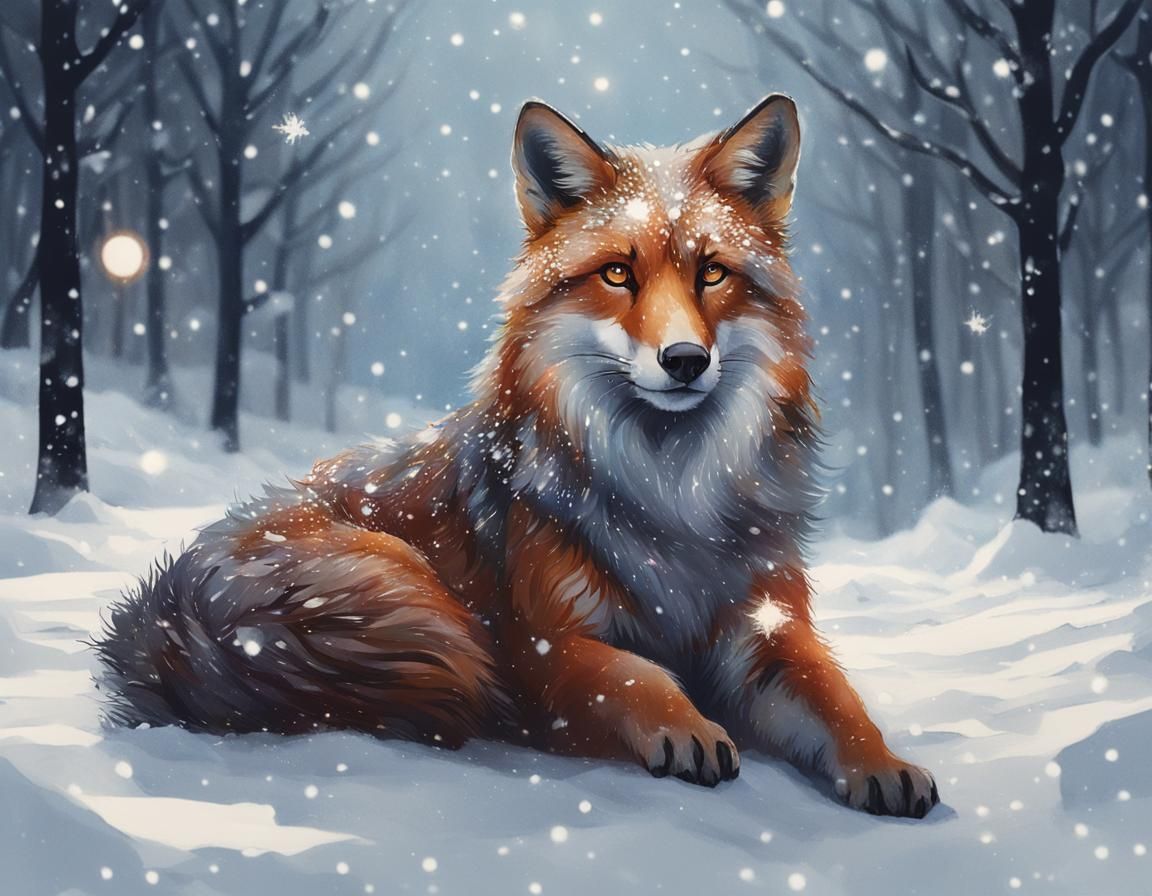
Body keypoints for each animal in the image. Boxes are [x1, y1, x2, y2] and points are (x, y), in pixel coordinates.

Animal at [96, 95, 939, 818]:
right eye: (618, 273)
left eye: (711, 272)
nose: (684, 360)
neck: (672, 495)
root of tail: (160, 619)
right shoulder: (547, 644)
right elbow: (634, 676)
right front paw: (689, 724)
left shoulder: (766, 626)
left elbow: (837, 696)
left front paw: (885, 763)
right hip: (408, 582)